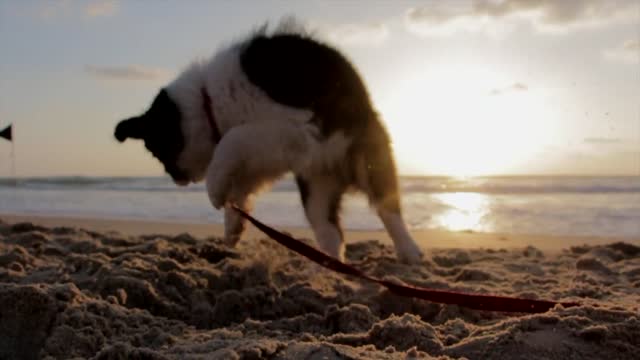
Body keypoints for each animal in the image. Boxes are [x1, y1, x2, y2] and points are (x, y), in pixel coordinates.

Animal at [115, 25, 424, 262]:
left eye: (157, 152)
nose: (176, 179)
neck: (208, 102)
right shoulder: (268, 155)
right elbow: (239, 184)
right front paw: (233, 225)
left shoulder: (298, 128)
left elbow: (231, 140)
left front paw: (214, 192)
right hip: (317, 188)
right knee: (330, 232)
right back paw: (332, 269)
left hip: (365, 158)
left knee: (387, 208)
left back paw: (409, 251)